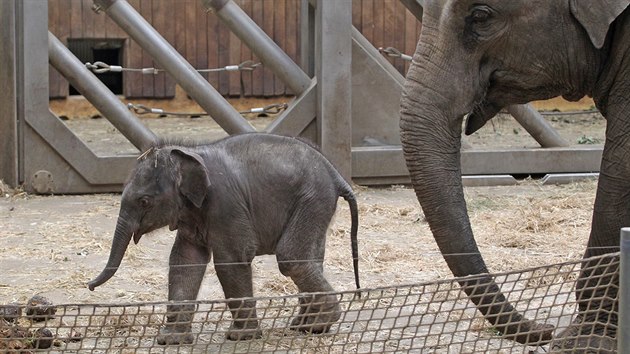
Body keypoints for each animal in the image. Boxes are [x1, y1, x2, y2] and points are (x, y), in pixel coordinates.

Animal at [87, 132, 360, 342]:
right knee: (310, 257)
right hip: (315, 204)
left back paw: (318, 323)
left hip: (312, 199)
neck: (189, 153)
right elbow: (185, 261)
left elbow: (231, 260)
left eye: (144, 201)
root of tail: (335, 173)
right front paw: (171, 340)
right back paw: (307, 325)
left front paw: (241, 337)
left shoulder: (225, 204)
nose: (89, 286)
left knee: (292, 258)